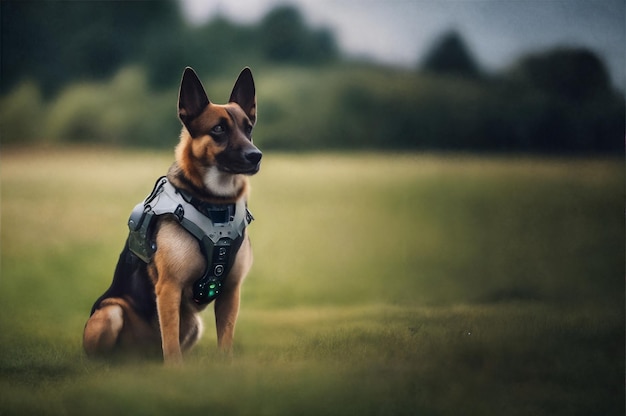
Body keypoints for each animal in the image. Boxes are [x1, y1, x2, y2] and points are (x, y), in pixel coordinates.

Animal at [83, 66, 260, 362]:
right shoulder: (169, 288)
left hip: (195, 325)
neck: (214, 204)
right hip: (111, 312)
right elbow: (171, 343)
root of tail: (141, 358)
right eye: (218, 129)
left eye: (248, 129)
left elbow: (225, 339)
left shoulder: (230, 291)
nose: (256, 155)